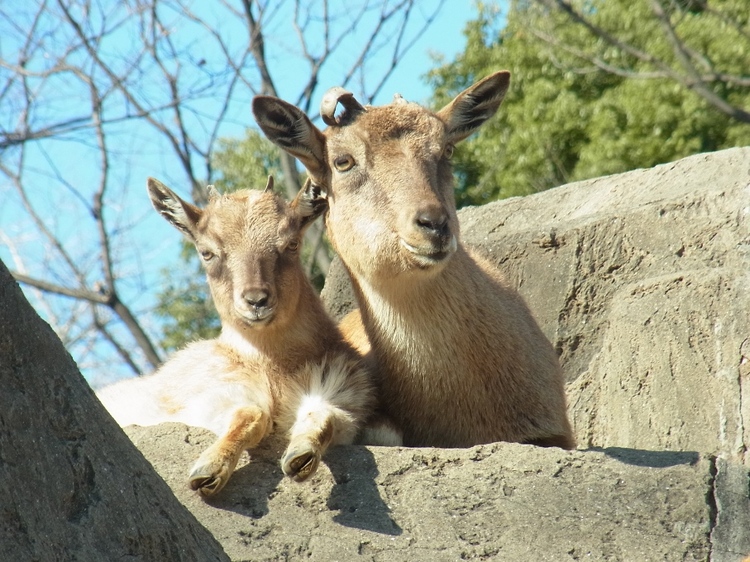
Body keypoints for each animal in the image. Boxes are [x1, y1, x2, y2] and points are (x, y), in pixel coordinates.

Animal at [96, 176, 381, 498]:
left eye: (292, 243)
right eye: (206, 252)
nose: (256, 300)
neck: (272, 369)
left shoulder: (341, 391)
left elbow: (325, 416)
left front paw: (300, 456)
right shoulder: (203, 400)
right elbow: (251, 414)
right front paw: (209, 471)